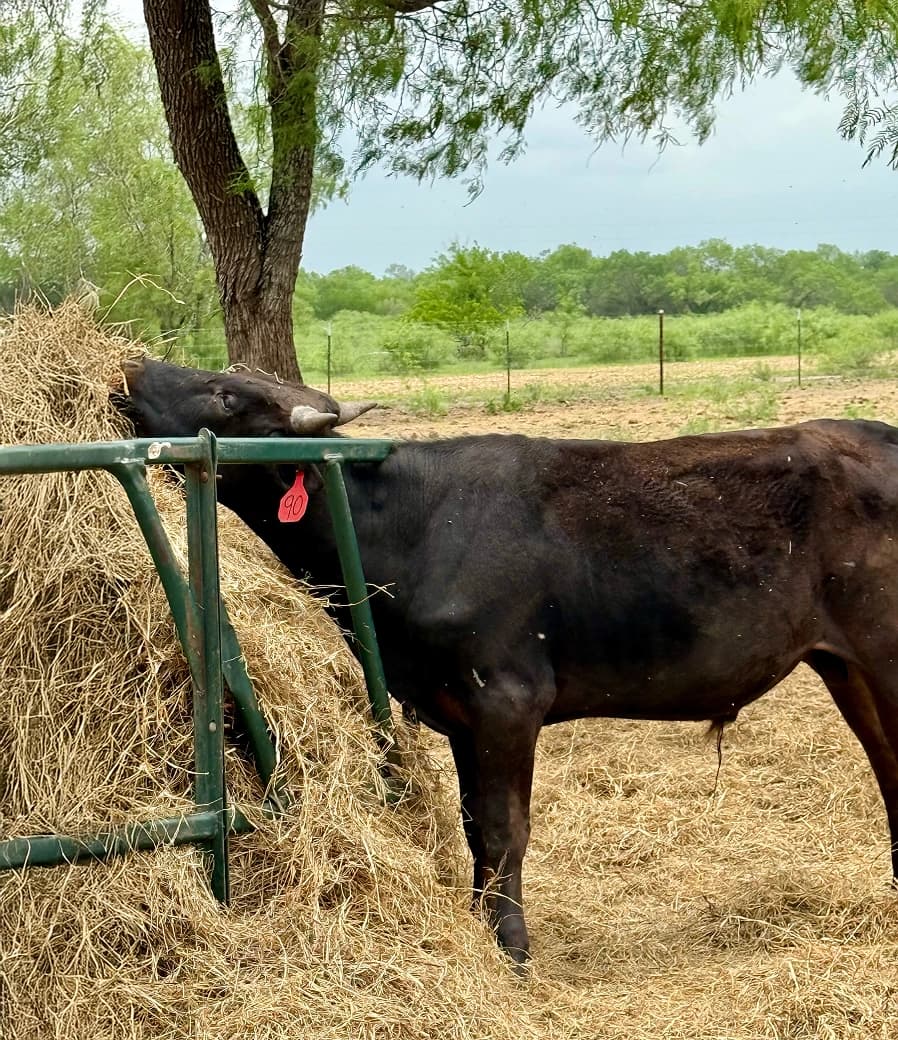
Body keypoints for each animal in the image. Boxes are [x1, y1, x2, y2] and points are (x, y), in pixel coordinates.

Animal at [117, 356, 898, 968]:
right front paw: (480, 926)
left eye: (225, 396)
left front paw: (511, 947)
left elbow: (502, 829)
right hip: (848, 668)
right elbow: (472, 827)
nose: (130, 365)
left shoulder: (506, 700)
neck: (414, 523)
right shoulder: (461, 714)